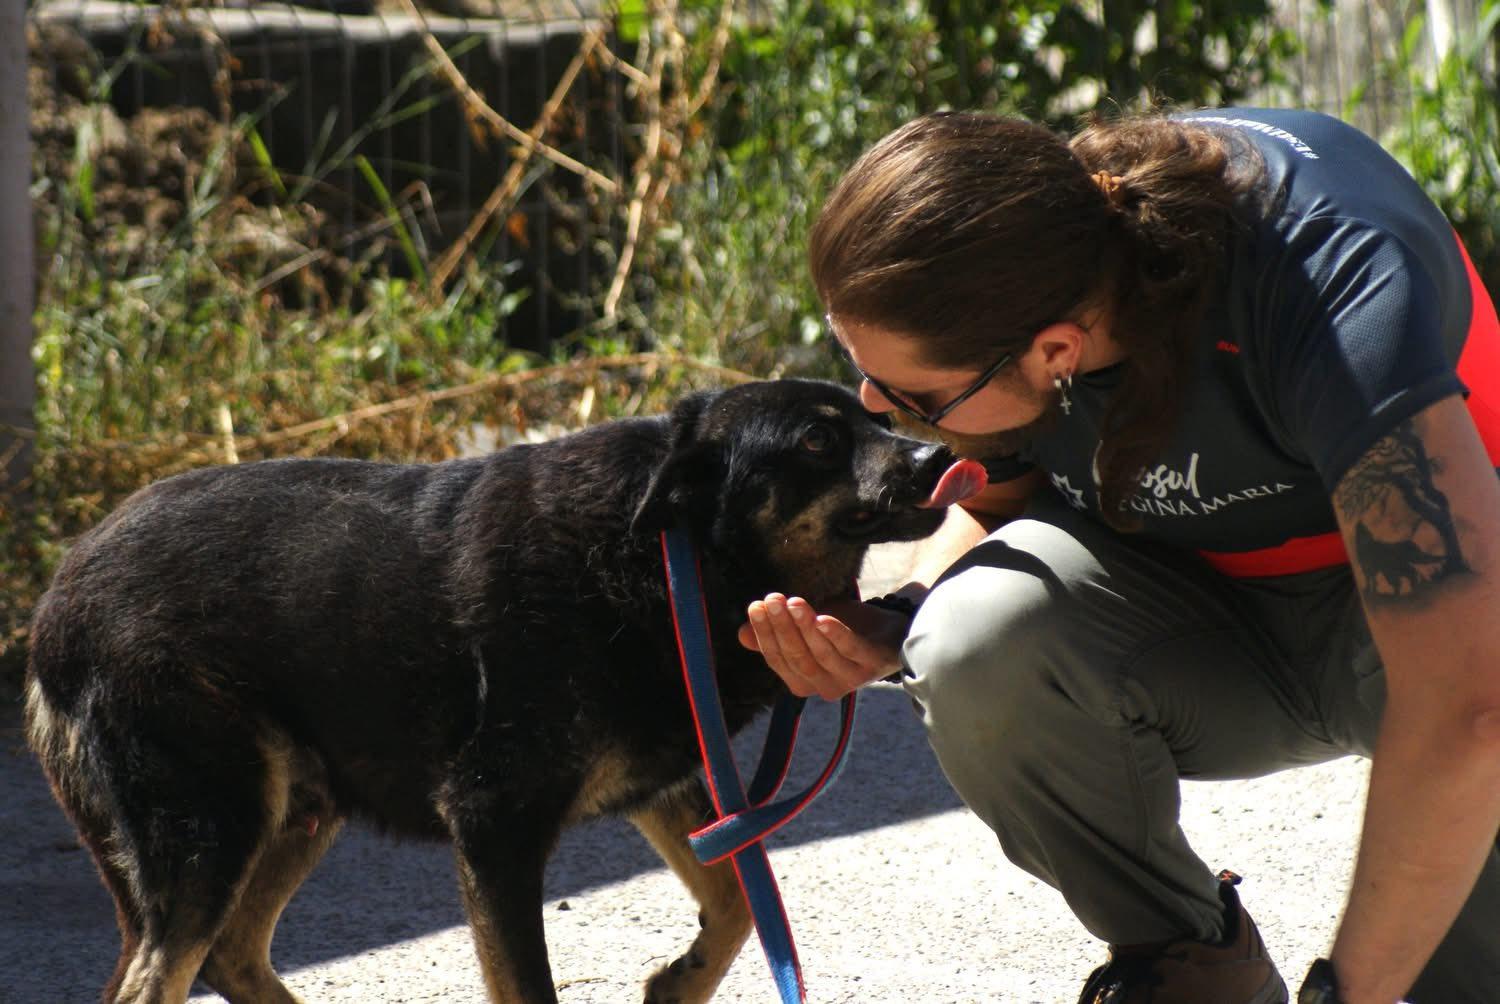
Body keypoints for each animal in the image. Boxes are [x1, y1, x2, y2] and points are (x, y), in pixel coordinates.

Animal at [25, 378, 981, 1004]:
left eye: (877, 418)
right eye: (819, 441)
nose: (940, 454)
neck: (671, 552)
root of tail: (52, 607)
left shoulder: (670, 784)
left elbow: (739, 902)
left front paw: (676, 984)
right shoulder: (495, 824)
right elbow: (533, 986)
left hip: (298, 808)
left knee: (228, 954)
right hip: (209, 825)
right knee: (160, 976)